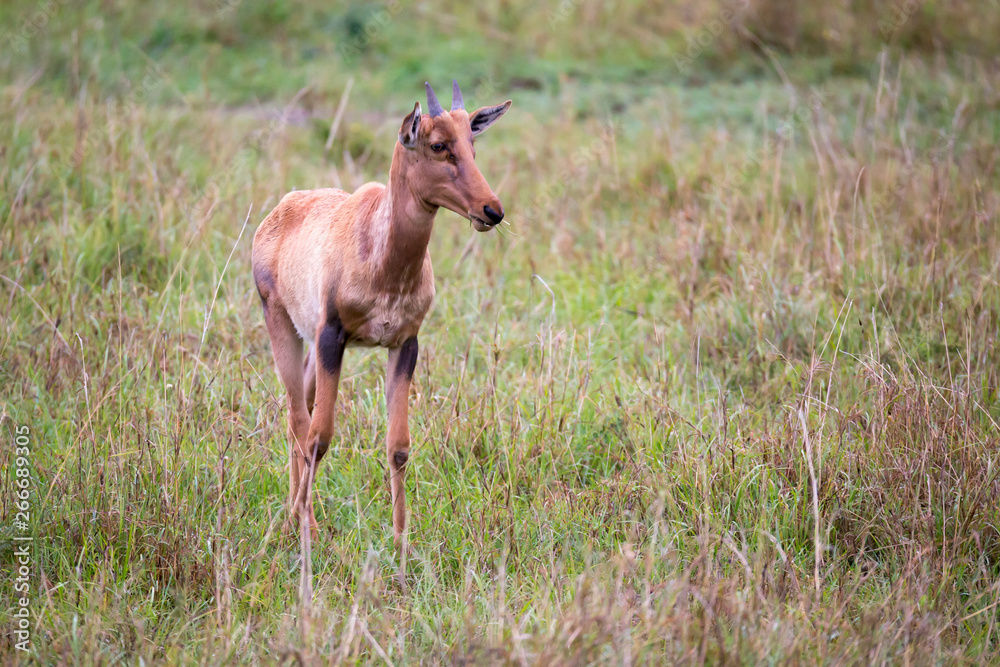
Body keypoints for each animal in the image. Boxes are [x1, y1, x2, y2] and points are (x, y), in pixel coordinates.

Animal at [254, 81, 512, 544]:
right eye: (438, 144)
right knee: (299, 420)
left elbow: (399, 447)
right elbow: (321, 437)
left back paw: (292, 515)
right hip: (282, 324)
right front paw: (306, 527)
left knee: (298, 413)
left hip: (311, 346)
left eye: (472, 144)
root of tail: (281, 209)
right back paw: (301, 520)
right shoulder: (333, 337)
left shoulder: (404, 344)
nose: (492, 211)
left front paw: (400, 539)